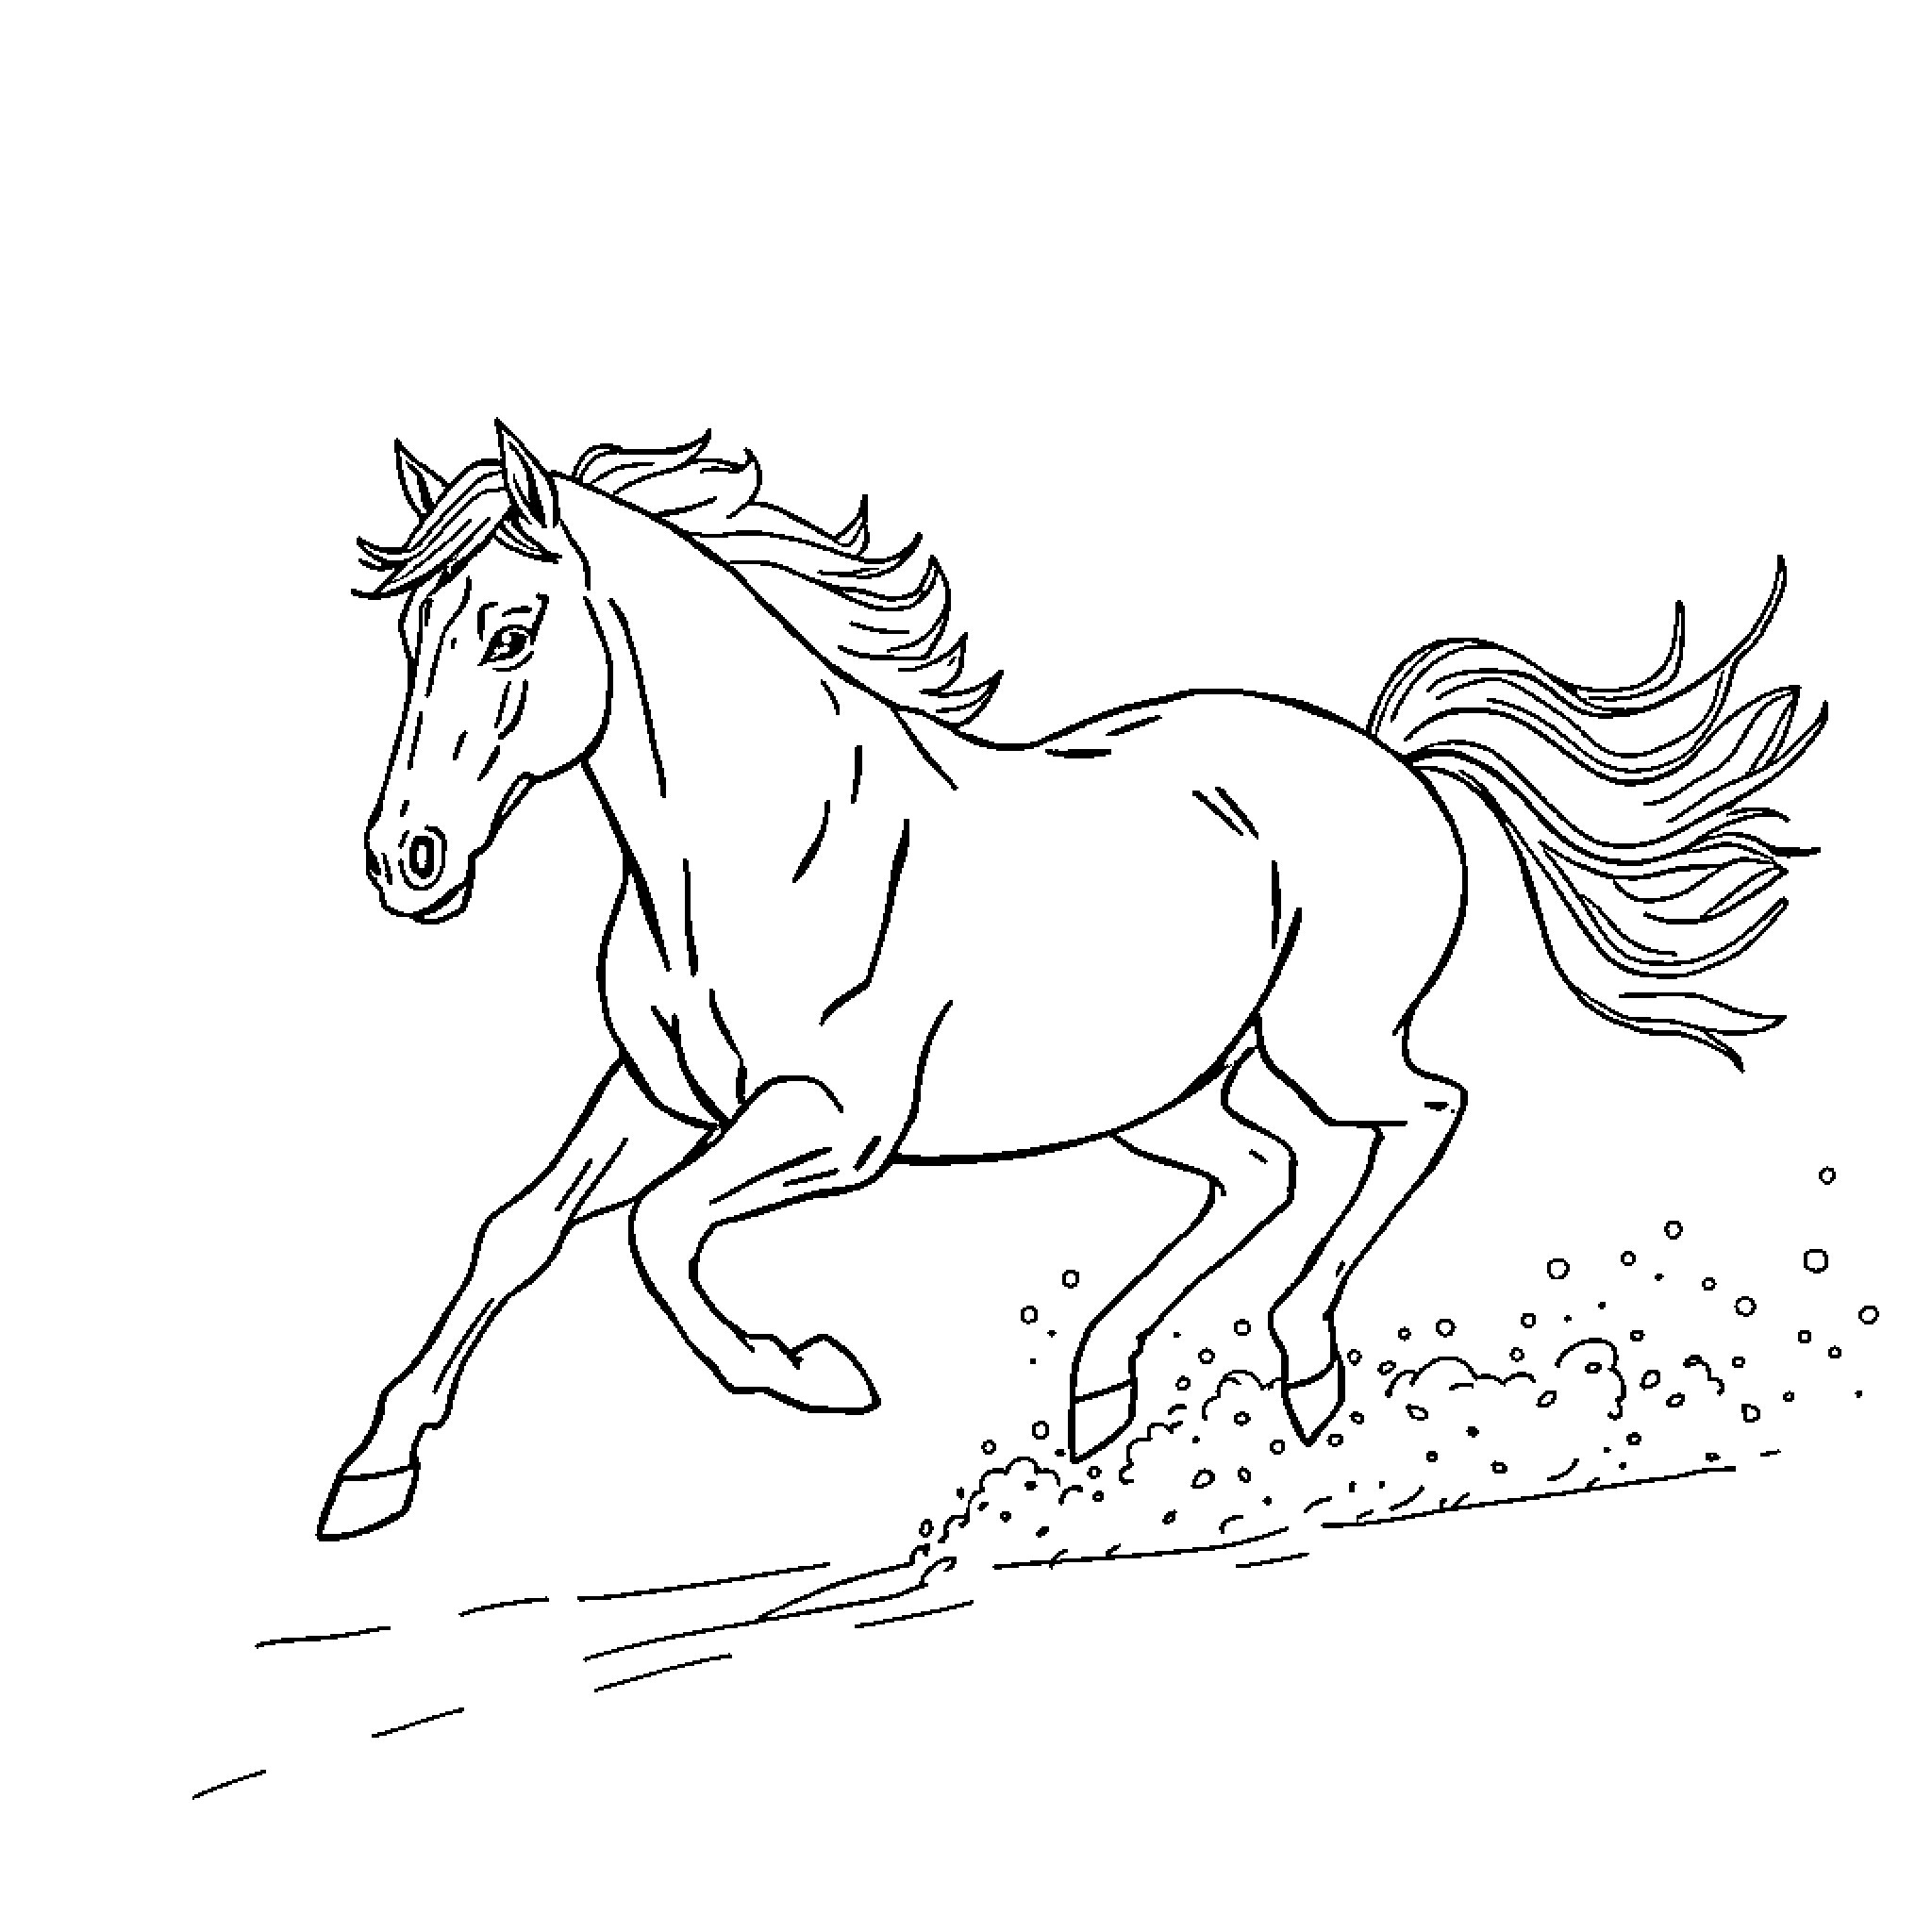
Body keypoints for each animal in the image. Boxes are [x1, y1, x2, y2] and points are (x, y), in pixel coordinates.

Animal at [317, 420, 1824, 1539]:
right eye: (409, 637)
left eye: (510, 632)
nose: (404, 858)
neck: (753, 849)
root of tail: (1390, 754)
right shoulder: (659, 1097)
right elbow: (515, 1232)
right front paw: (369, 1478)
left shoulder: (833, 1124)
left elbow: (657, 1233)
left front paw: (814, 1374)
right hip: (1163, 1094)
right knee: (1260, 1171)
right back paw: (1107, 1400)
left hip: (1328, 1041)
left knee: (1420, 1117)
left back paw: (1302, 1365)